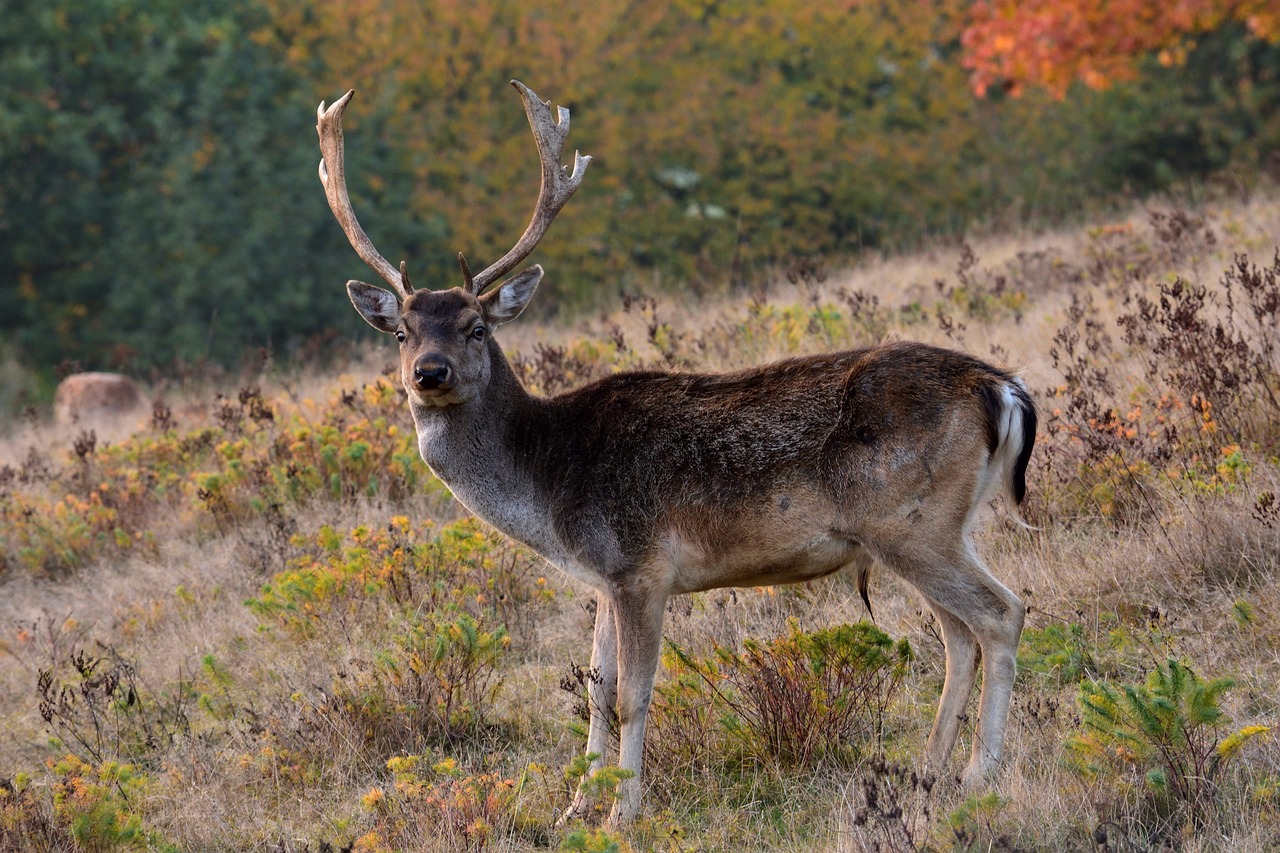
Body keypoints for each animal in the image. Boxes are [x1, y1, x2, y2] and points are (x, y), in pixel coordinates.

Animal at [314, 79, 1034, 824]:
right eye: (401, 332)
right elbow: (596, 691)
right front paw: (576, 808)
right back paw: (927, 772)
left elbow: (633, 695)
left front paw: (622, 811)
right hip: (931, 527)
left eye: (475, 326)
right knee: (958, 635)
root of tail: (1002, 387)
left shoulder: (641, 565)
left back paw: (980, 773)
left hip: (911, 521)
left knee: (1000, 613)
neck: (548, 486)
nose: (429, 373)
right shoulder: (603, 576)